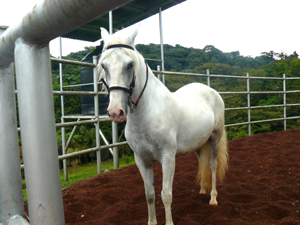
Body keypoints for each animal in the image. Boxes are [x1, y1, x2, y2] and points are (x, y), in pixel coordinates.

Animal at [98, 26, 227, 225]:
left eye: (130, 65)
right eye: (104, 65)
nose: (115, 112)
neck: (146, 115)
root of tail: (212, 91)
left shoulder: (168, 158)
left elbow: (166, 194)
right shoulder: (141, 160)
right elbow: (149, 194)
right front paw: (152, 222)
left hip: (215, 139)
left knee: (212, 165)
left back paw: (213, 198)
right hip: (198, 144)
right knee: (202, 162)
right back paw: (202, 190)